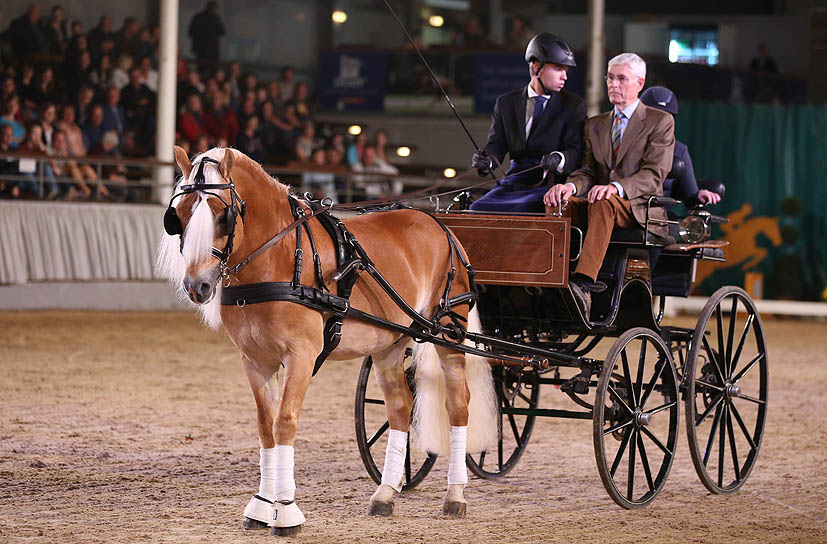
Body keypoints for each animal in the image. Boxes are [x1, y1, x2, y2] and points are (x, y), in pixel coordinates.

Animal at [158, 148, 498, 536]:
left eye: (221, 215)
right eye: (179, 215)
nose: (196, 286)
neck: (281, 256)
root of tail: (440, 226)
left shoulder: (301, 356)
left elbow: (284, 422)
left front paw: (285, 511)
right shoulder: (255, 361)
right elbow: (265, 427)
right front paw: (260, 506)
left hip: (447, 335)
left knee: (458, 406)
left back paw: (455, 495)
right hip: (391, 344)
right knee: (400, 407)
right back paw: (385, 494)